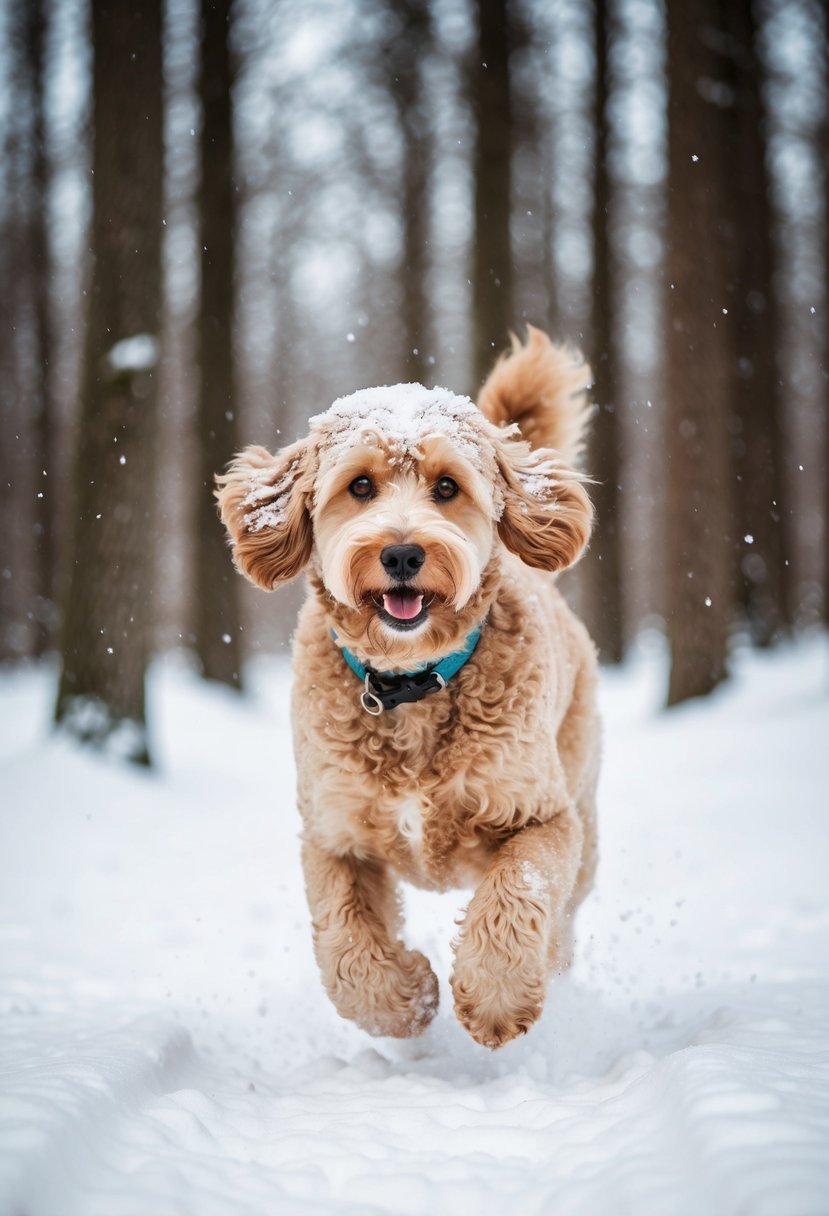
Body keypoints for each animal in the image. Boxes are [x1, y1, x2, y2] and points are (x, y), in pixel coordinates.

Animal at [216, 328, 598, 1050]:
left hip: (583, 804)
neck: (410, 686)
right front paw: (408, 1002)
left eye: (447, 486)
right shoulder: (332, 835)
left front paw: (496, 998)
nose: (400, 553)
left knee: (564, 913)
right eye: (360, 485)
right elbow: (346, 948)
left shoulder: (541, 815)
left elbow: (517, 892)